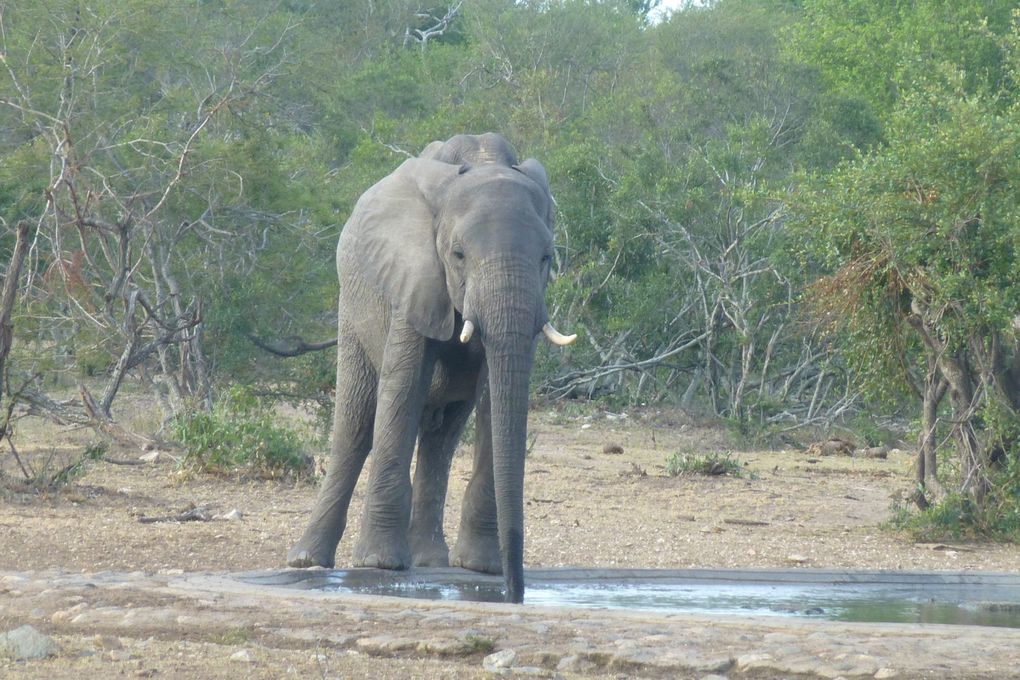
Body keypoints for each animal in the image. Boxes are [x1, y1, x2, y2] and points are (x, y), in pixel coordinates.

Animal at [289, 131, 575, 599]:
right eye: (458, 255)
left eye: (546, 258)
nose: (515, 593)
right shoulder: (412, 277)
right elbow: (404, 386)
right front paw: (379, 563)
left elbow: (494, 396)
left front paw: (479, 568)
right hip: (352, 308)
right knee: (355, 426)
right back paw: (307, 560)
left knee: (441, 438)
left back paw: (429, 561)